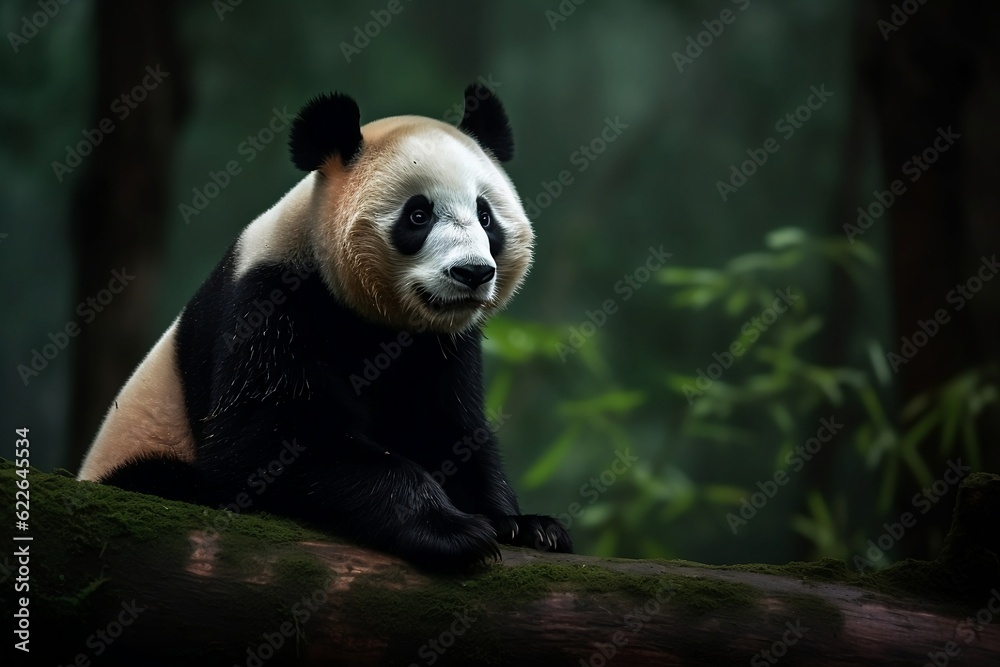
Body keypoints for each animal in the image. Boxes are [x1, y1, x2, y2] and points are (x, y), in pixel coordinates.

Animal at [76, 83, 572, 571]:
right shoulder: (271, 306)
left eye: (486, 216)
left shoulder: (440, 344)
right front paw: (451, 530)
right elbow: (269, 447)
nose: (472, 273)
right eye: (418, 215)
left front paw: (528, 526)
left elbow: (450, 428)